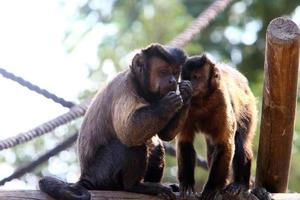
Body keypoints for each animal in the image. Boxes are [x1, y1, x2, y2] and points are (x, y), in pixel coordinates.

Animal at [38, 44, 192, 200]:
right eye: (163, 71)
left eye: (175, 73)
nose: (173, 81)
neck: (139, 86)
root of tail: (85, 178)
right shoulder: (125, 86)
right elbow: (129, 131)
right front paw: (167, 103)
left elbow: (164, 135)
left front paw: (186, 93)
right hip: (101, 176)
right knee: (127, 143)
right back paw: (134, 186)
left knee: (155, 145)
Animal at [177, 54, 256, 199]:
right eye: (186, 77)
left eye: (195, 76)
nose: (188, 83)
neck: (202, 100)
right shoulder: (185, 102)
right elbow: (185, 141)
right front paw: (187, 184)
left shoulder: (221, 99)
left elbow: (225, 144)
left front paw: (212, 188)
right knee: (212, 147)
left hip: (249, 108)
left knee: (239, 140)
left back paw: (241, 184)